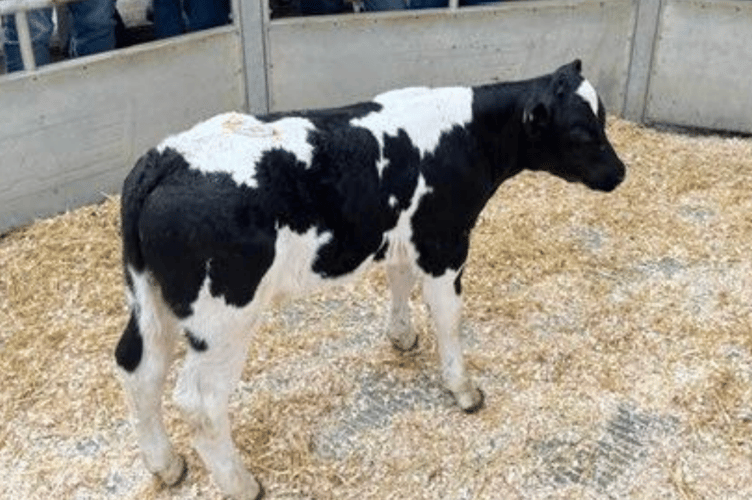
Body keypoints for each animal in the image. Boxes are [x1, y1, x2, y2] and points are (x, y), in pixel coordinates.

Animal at [115, 60, 626, 499]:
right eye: (581, 132)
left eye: (602, 119)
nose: (620, 172)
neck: (467, 135)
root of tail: (165, 158)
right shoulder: (444, 245)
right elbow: (449, 318)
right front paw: (463, 389)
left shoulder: (403, 235)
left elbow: (398, 281)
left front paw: (401, 336)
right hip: (223, 317)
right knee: (200, 401)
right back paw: (241, 484)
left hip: (150, 298)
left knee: (138, 366)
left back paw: (166, 465)